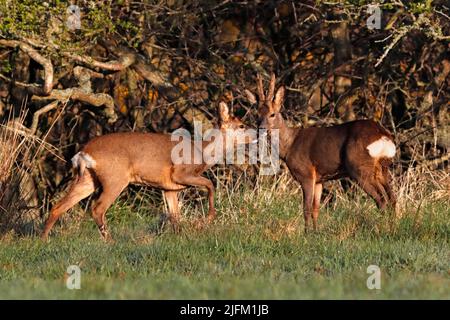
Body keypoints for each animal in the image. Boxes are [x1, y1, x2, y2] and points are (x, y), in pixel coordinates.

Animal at [42, 102, 250, 240]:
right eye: (241, 125)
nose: (254, 134)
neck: (203, 152)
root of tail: (84, 152)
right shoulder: (181, 173)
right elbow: (210, 184)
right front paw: (207, 219)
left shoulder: (169, 188)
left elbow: (175, 215)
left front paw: (180, 237)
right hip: (115, 178)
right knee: (97, 208)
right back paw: (110, 241)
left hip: (88, 179)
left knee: (58, 206)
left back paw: (43, 240)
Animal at [246, 74, 398, 231]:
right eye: (257, 114)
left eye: (272, 114)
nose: (261, 128)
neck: (289, 145)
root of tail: (383, 135)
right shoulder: (320, 179)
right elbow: (315, 209)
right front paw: (315, 232)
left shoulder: (306, 174)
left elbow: (306, 208)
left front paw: (306, 233)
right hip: (382, 169)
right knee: (392, 198)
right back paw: (392, 227)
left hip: (360, 167)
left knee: (381, 199)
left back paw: (381, 228)